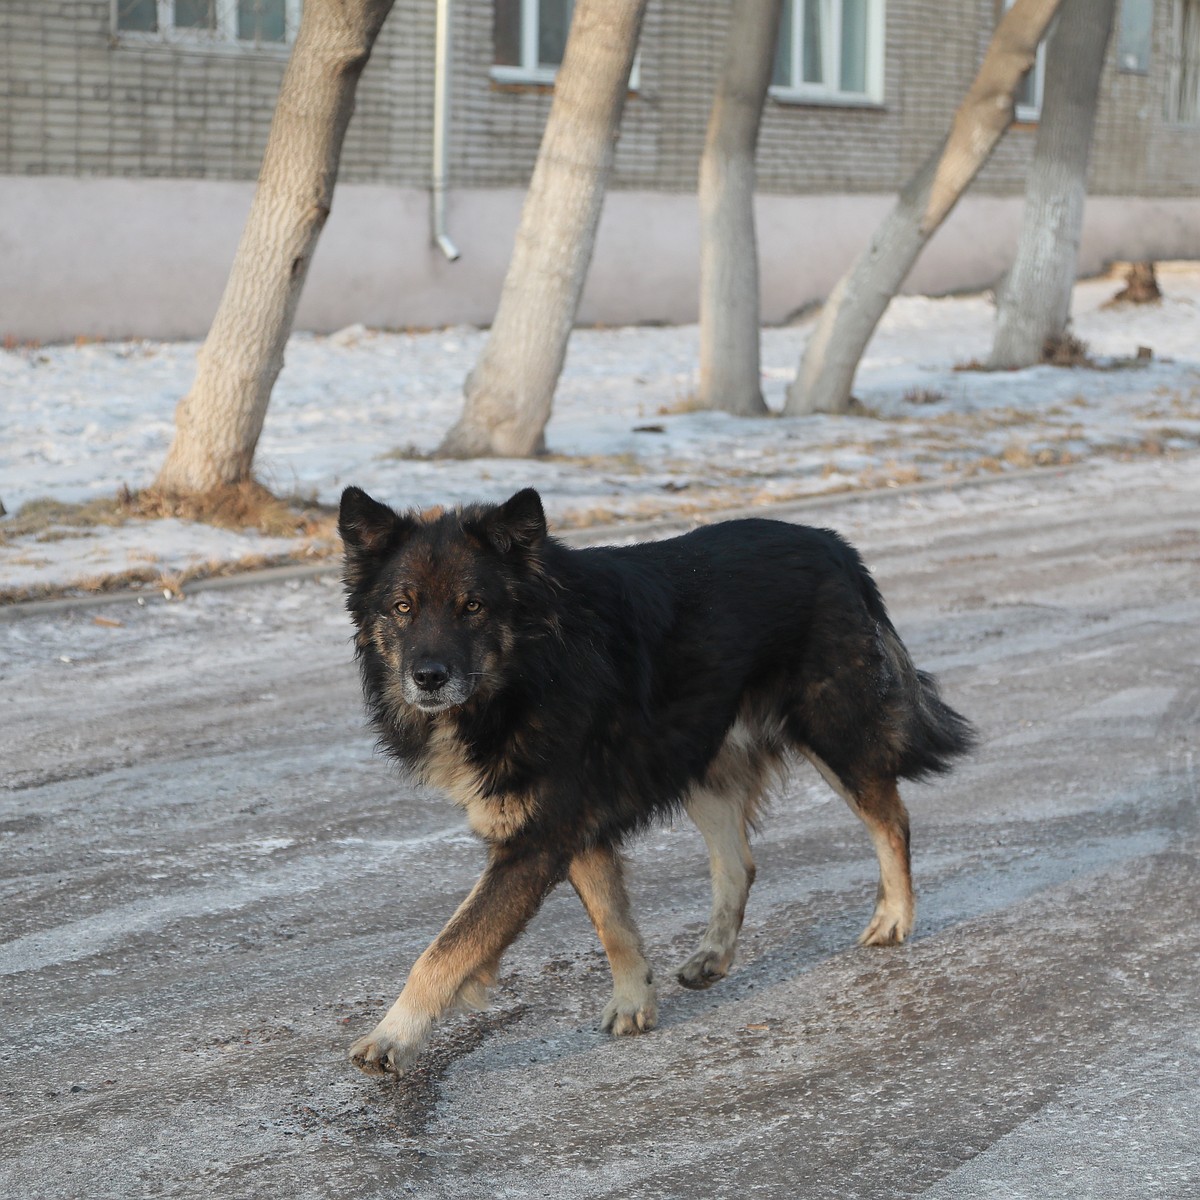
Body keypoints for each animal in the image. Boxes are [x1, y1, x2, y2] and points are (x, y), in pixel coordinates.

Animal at [338, 487, 974, 1080]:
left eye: (471, 606)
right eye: (402, 607)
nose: (428, 678)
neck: (533, 669)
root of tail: (833, 544)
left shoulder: (535, 842)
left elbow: (447, 948)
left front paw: (393, 1035)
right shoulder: (572, 829)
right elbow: (613, 922)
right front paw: (634, 999)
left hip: (831, 731)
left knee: (891, 819)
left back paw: (894, 918)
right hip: (701, 757)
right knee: (738, 863)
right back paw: (714, 953)